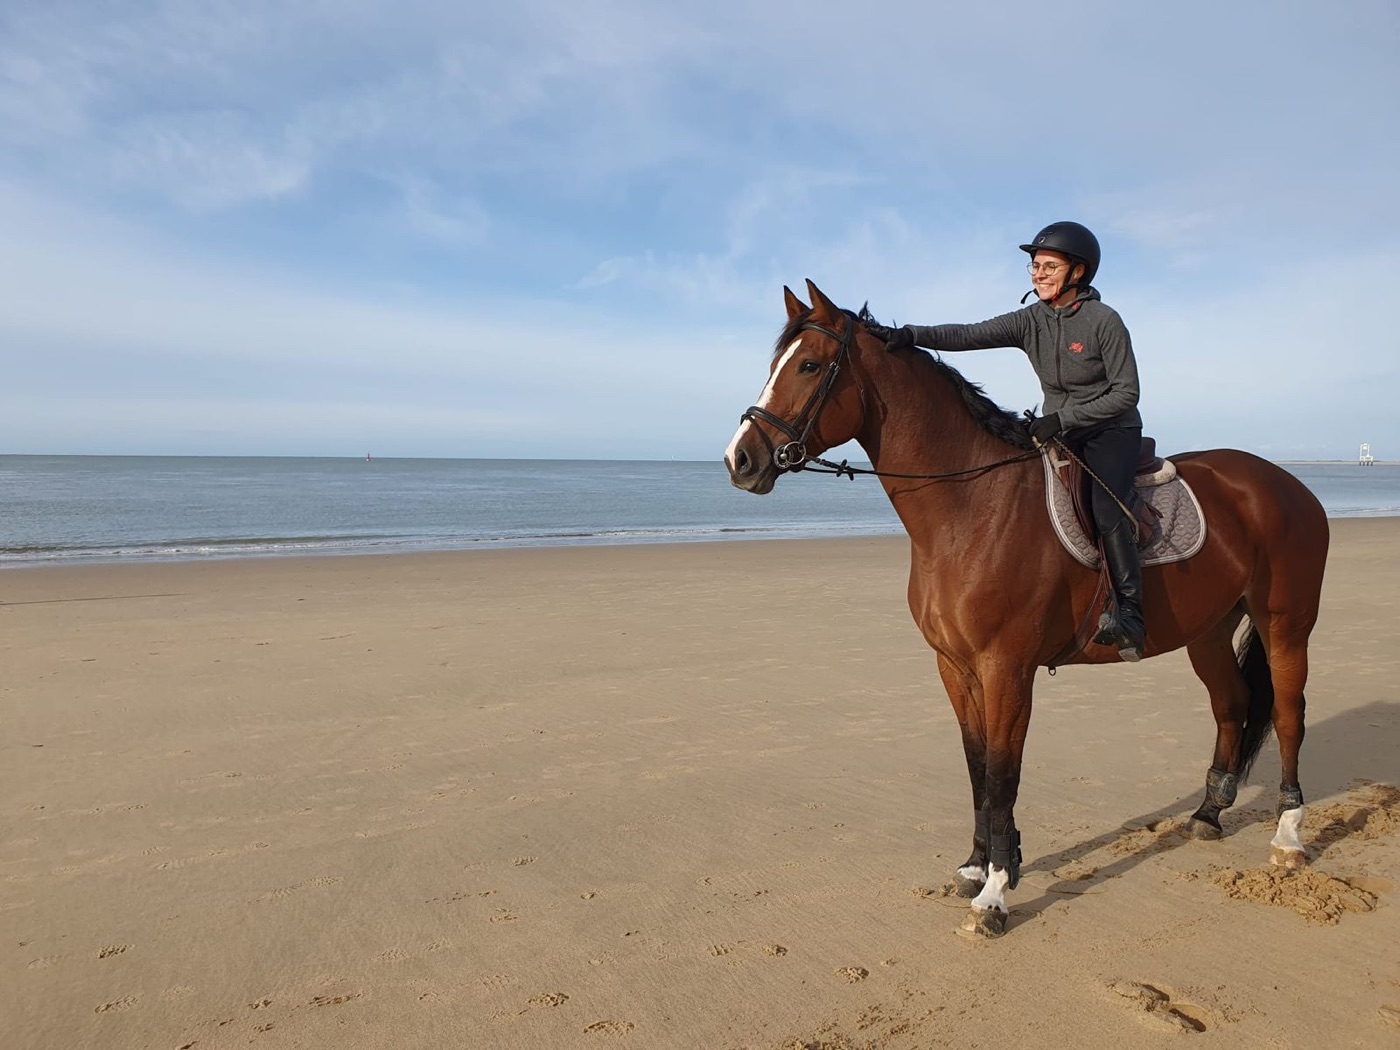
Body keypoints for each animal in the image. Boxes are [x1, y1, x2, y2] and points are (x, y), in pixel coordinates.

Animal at [723, 280, 1330, 938]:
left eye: (809, 366)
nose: (739, 460)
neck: (970, 507)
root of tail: (1287, 485)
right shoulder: (956, 667)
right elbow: (976, 765)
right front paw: (979, 863)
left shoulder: (1006, 668)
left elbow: (1002, 771)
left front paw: (994, 892)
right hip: (1210, 632)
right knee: (1232, 705)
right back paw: (1208, 814)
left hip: (1284, 625)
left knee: (1289, 715)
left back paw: (1288, 837)